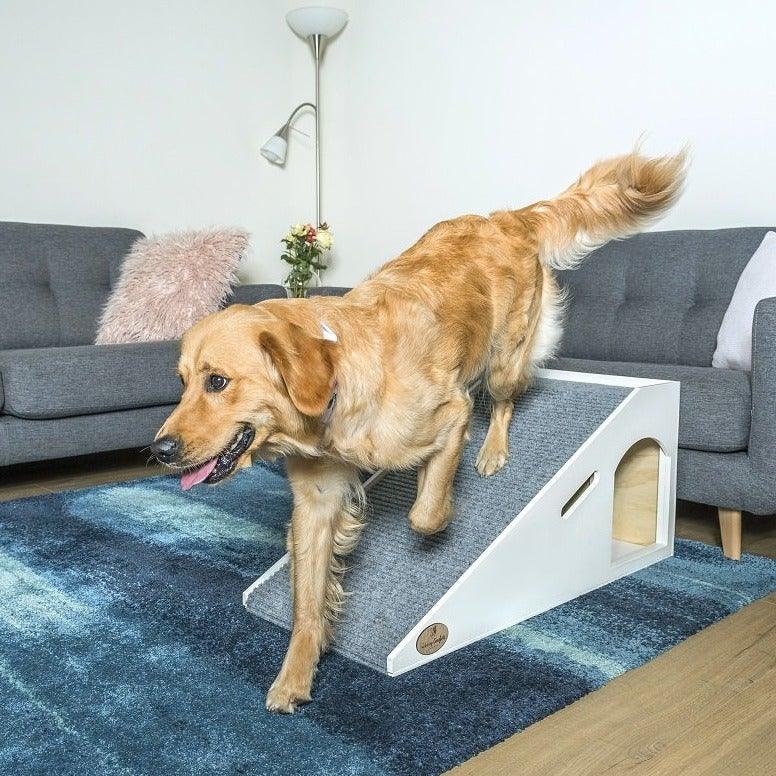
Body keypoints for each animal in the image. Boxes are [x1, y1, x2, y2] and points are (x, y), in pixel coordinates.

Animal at [152, 149, 684, 712]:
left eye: (217, 381)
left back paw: (492, 450)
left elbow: (424, 513)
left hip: (504, 357)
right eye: (182, 383)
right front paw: (296, 673)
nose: (159, 449)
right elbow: (307, 598)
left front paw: (442, 510)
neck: (335, 395)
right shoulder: (316, 499)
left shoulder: (448, 412)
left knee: (503, 399)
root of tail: (505, 218)